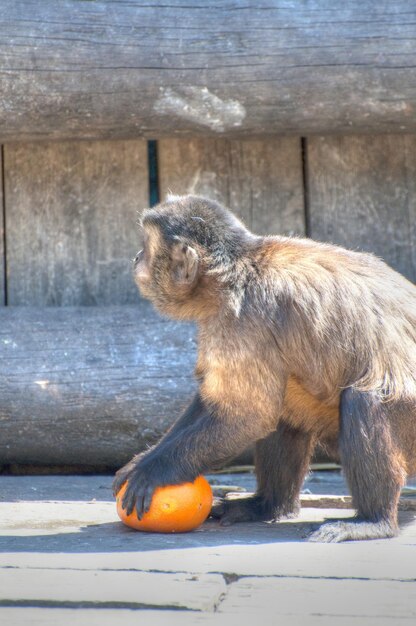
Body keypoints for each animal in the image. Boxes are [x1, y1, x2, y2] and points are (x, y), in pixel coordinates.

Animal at [113, 193, 416, 540]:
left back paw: (373, 521)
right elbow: (219, 401)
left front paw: (155, 469)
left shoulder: (244, 320)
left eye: (146, 248)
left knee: (363, 399)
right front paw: (142, 460)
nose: (137, 257)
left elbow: (247, 416)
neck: (239, 270)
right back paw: (269, 507)